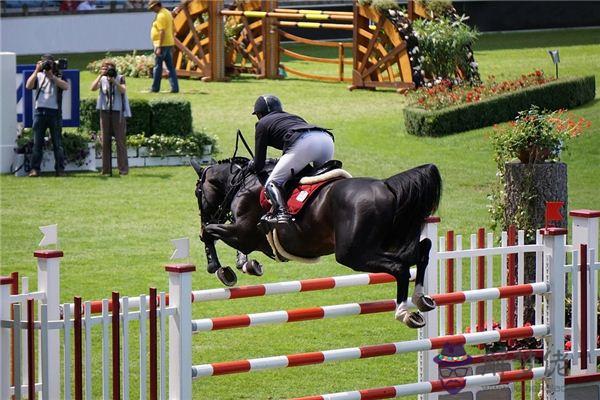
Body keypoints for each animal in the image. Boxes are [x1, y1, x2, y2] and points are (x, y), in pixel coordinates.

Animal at [192, 158, 440, 326]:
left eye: (197, 192)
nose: (205, 216)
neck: (242, 183)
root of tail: (388, 187)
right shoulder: (247, 238)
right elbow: (230, 245)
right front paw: (247, 265)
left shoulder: (243, 233)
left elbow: (209, 233)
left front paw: (219, 269)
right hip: (389, 242)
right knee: (422, 250)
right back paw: (421, 299)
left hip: (353, 254)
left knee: (400, 267)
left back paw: (404, 312)